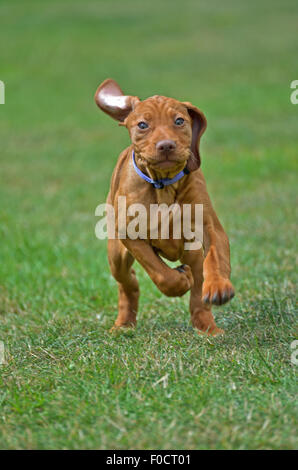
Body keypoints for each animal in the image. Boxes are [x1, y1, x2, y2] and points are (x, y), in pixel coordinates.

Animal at [94, 80, 234, 334]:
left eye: (179, 121)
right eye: (142, 125)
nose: (166, 145)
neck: (163, 186)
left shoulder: (210, 227)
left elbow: (215, 257)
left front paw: (218, 286)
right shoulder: (130, 235)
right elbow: (160, 273)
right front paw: (179, 281)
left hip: (191, 252)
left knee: (198, 293)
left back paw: (207, 327)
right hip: (116, 255)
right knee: (128, 281)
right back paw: (124, 324)